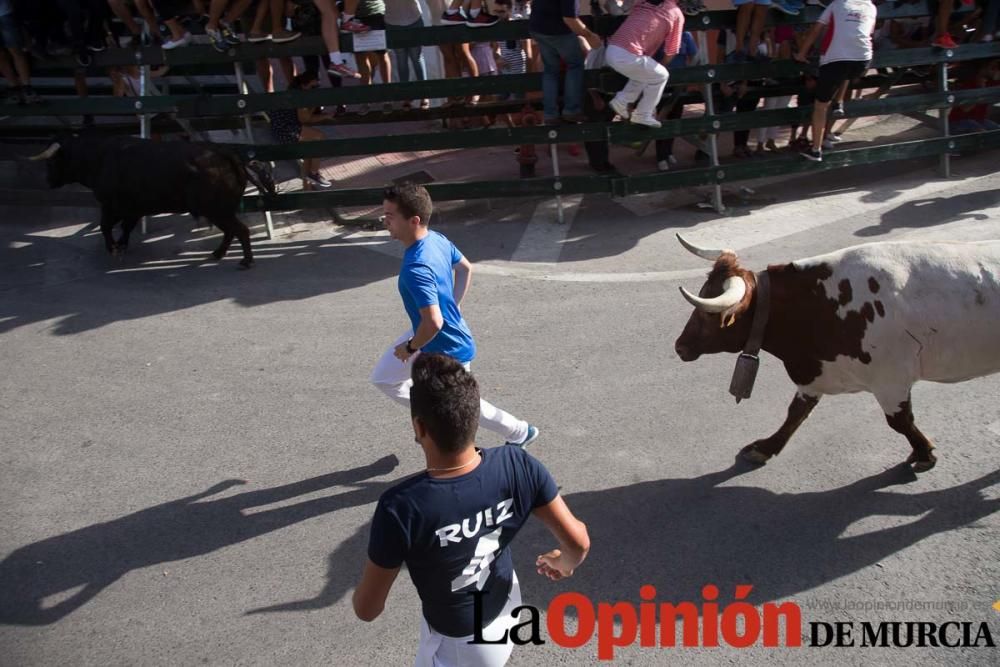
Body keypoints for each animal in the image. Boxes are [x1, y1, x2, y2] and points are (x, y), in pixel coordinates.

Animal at [672, 232, 1000, 472]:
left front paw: (923, 453)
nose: (680, 346)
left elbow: (900, 421)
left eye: (708, 314)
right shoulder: (814, 375)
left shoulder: (890, 380)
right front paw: (765, 447)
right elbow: (795, 414)